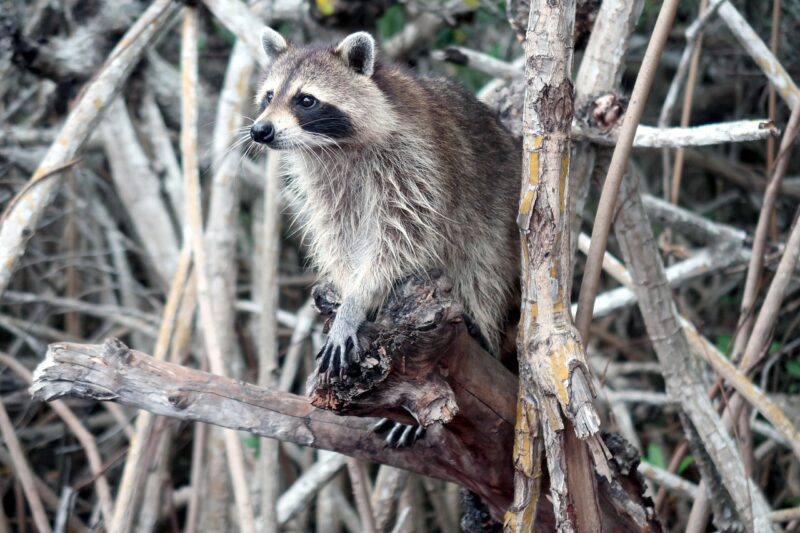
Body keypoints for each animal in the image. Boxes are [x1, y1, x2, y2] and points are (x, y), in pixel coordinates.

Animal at [253, 30, 520, 378]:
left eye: (306, 100)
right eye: (269, 96)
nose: (260, 130)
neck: (334, 147)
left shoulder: (413, 166)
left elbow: (401, 238)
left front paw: (358, 299)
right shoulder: (326, 184)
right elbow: (338, 234)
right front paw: (347, 288)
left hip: (496, 211)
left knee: (482, 265)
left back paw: (481, 326)